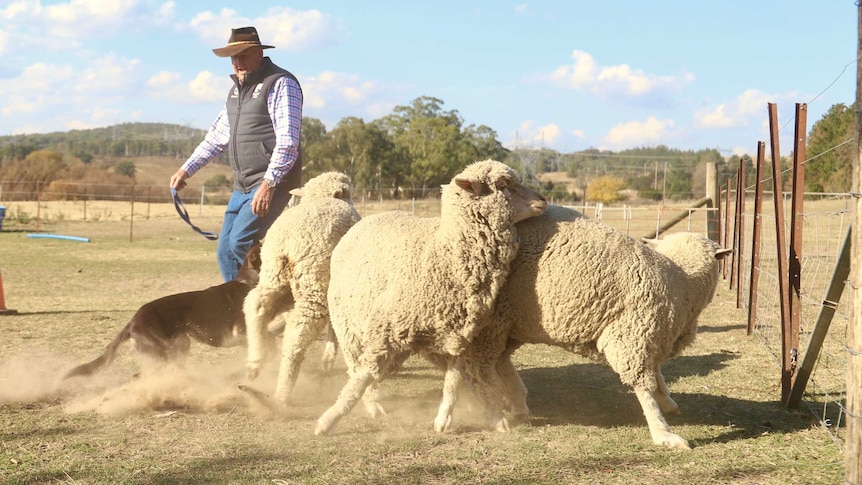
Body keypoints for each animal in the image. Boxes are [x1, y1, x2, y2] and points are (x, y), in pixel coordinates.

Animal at [243, 170, 362, 404]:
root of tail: (288, 243)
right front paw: (329, 357)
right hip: (314, 287)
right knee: (296, 335)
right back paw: (282, 391)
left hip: (274, 276)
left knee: (255, 305)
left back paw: (255, 361)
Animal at [316, 159, 548, 434]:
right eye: (502, 185)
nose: (542, 200)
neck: (445, 253)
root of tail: (365, 220)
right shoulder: (385, 329)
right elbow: (361, 378)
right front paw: (328, 420)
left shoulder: (459, 335)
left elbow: (453, 380)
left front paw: (452, 417)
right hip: (347, 326)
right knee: (355, 367)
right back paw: (372, 404)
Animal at [452, 212, 728, 450]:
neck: (680, 279)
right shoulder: (630, 335)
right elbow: (644, 386)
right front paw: (663, 432)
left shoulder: (652, 336)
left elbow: (657, 373)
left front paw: (667, 401)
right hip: (491, 322)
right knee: (481, 369)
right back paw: (497, 416)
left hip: (510, 323)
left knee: (499, 361)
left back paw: (518, 404)